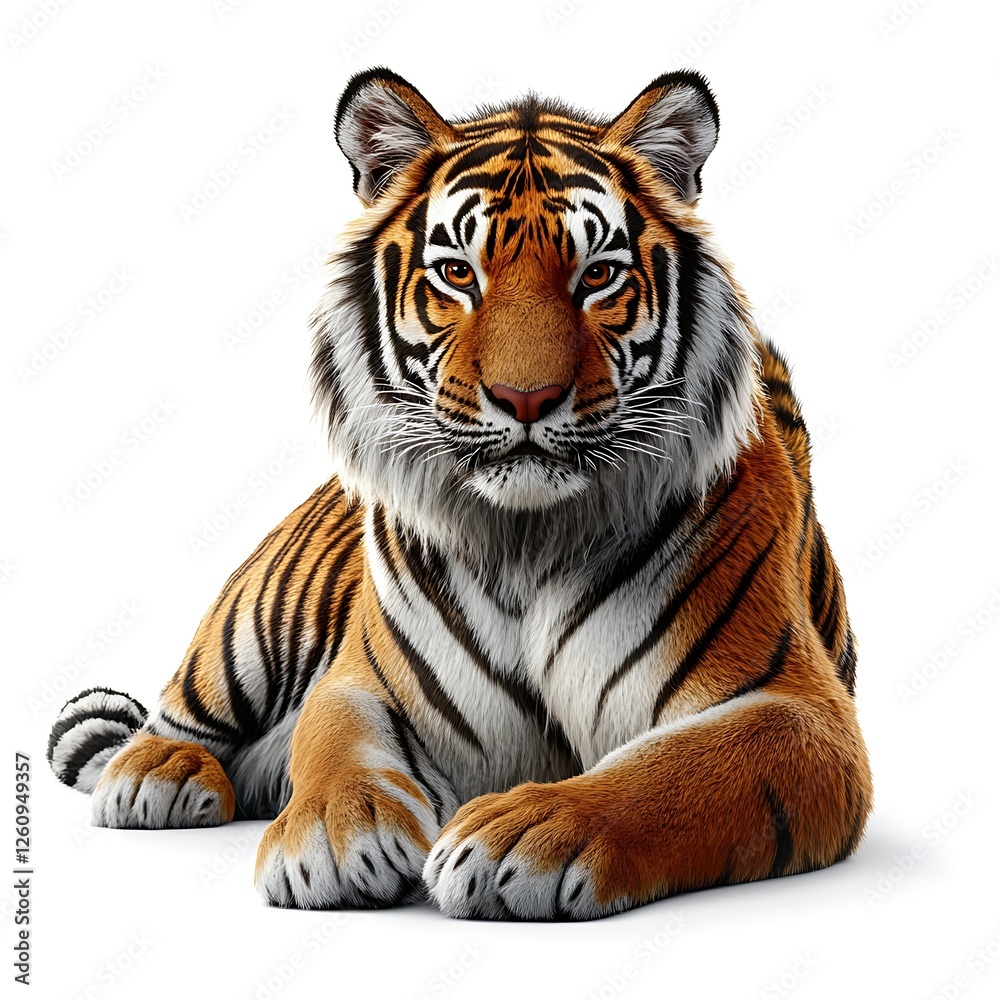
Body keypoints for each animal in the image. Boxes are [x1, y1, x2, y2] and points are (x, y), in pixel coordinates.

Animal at [48, 67, 872, 920]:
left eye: (597, 275)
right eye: (457, 273)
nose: (526, 398)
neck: (528, 539)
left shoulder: (795, 712)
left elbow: (668, 771)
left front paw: (528, 834)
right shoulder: (364, 682)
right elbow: (335, 744)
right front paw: (335, 834)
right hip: (250, 626)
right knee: (175, 714)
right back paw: (159, 776)